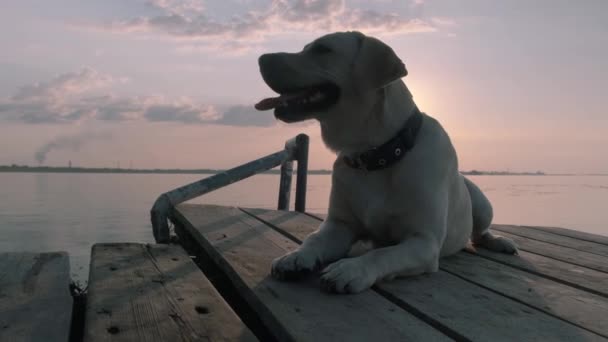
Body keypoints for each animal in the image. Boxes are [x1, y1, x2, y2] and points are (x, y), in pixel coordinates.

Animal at [254, 31, 516, 294]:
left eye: (323, 49)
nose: (261, 58)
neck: (378, 154)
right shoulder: (340, 224)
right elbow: (314, 238)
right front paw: (296, 256)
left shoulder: (424, 241)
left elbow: (382, 254)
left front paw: (350, 269)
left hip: (482, 204)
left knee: (480, 232)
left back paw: (500, 242)